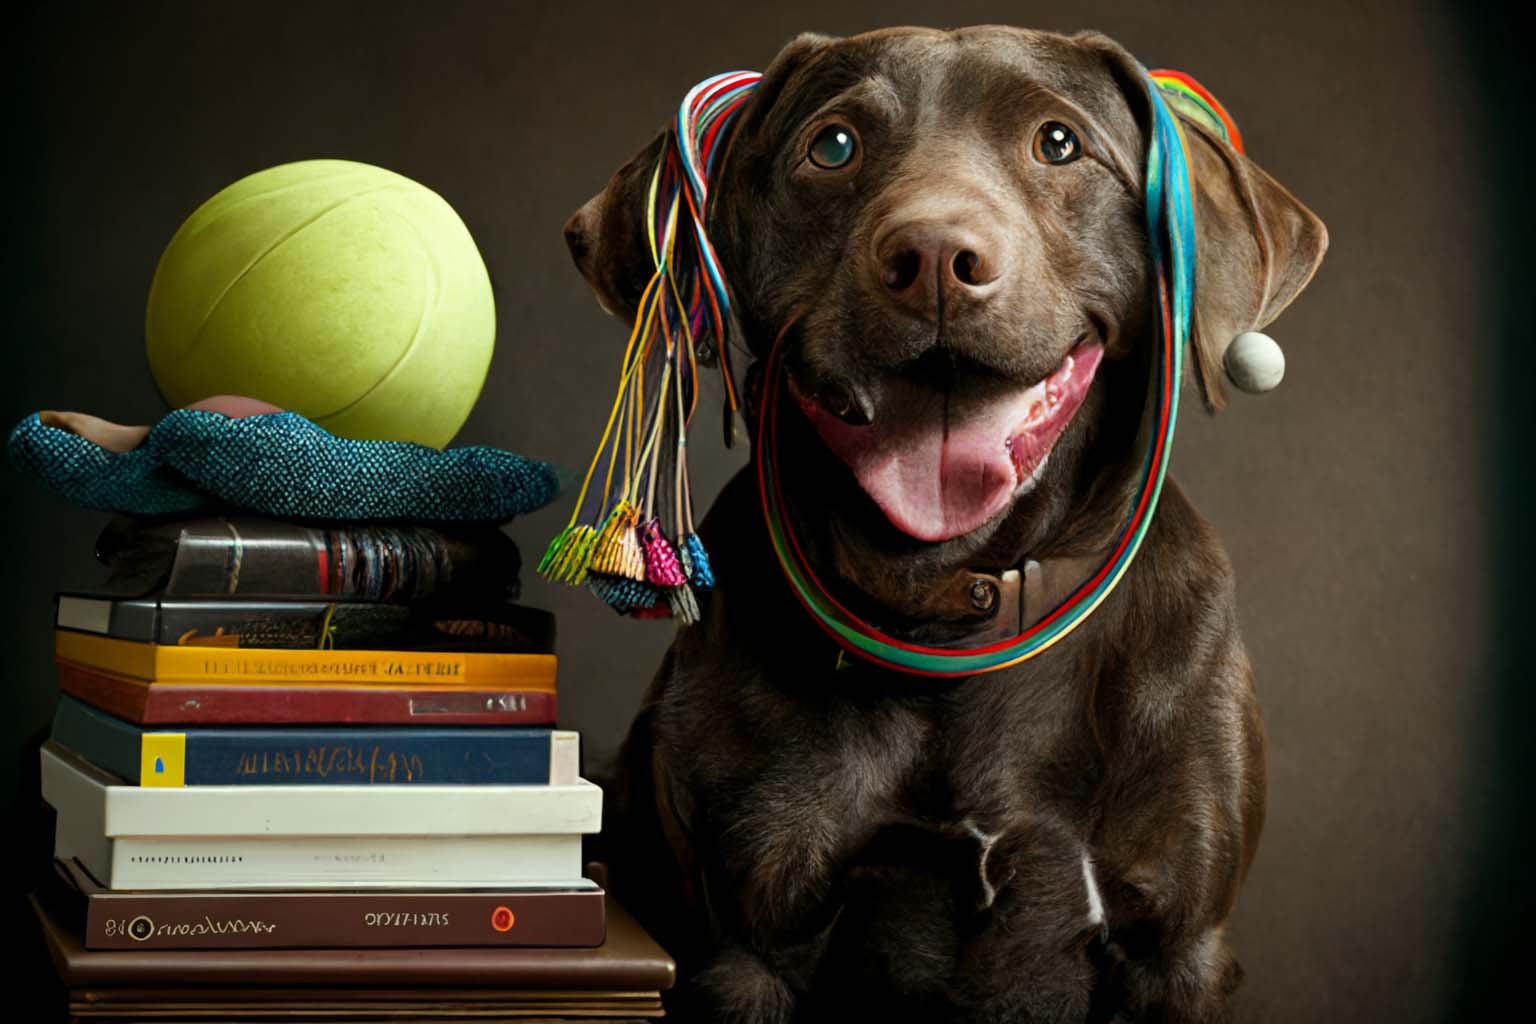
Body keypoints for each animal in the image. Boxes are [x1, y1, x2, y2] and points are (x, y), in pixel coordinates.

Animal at [571, 23, 1327, 1024]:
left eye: (1058, 143)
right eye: (833, 146)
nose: (933, 256)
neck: (949, 602)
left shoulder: (1179, 947)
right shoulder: (745, 946)